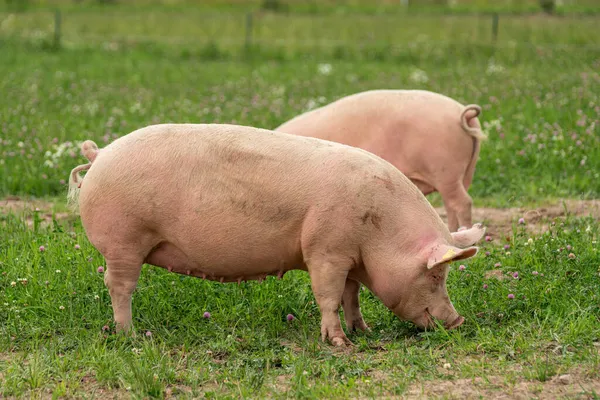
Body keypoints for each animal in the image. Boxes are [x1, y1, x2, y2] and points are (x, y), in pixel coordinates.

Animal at [69, 123, 488, 346]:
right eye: (435, 275)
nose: (458, 321)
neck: (380, 231)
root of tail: (99, 154)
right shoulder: (325, 249)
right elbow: (328, 296)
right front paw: (340, 343)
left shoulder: (350, 256)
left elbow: (351, 295)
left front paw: (363, 330)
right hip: (123, 242)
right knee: (119, 286)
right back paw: (131, 335)